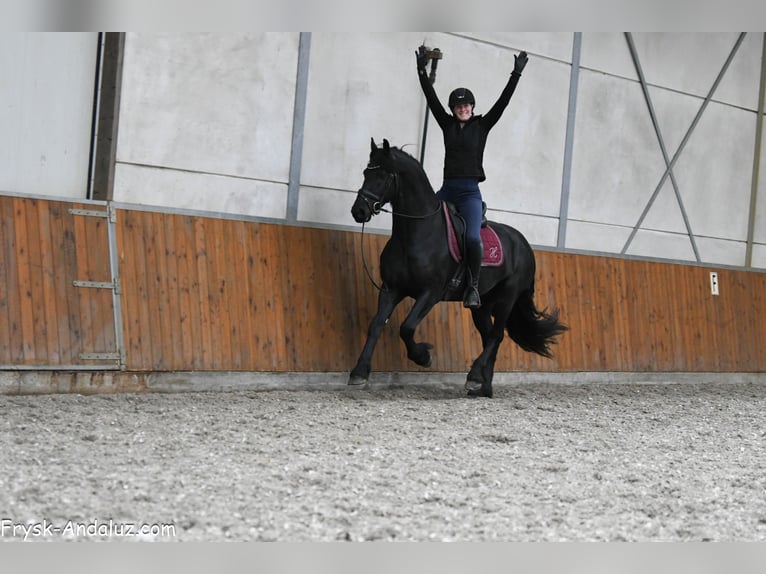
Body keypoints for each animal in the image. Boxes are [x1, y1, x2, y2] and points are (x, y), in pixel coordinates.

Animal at [349, 138, 568, 398]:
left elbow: (407, 327)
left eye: (383, 176)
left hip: (507, 298)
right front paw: (359, 373)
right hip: (482, 305)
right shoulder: (391, 289)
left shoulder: (430, 293)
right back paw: (483, 388)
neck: (417, 233)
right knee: (490, 338)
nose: (359, 211)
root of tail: (524, 244)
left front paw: (423, 356)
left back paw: (473, 377)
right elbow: (375, 326)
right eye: (365, 173)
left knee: (496, 336)